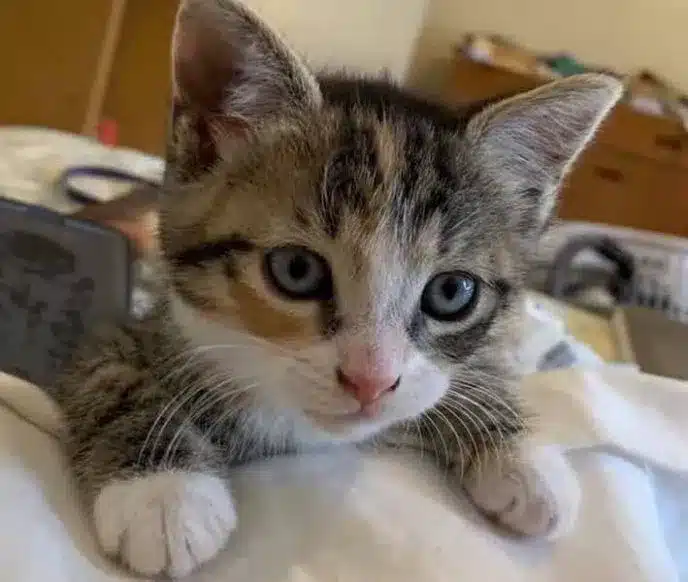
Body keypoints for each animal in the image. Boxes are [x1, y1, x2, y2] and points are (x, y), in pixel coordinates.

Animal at [53, 0, 620, 580]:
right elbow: (109, 373)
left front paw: (526, 458)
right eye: (296, 270)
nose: (371, 382)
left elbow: (466, 374)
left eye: (451, 292)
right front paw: (164, 492)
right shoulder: (115, 328)